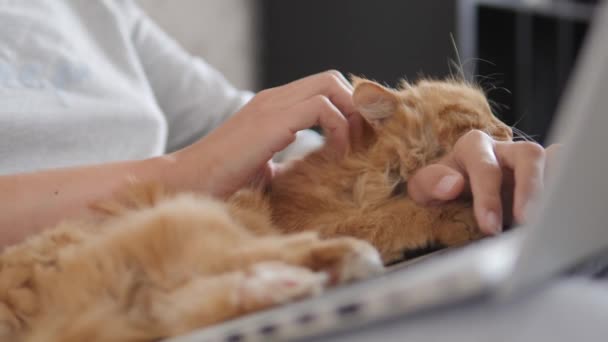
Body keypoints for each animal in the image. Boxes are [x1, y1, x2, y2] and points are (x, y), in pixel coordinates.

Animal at [0, 77, 512, 342]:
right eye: (478, 118)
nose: (508, 132)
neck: (363, 174)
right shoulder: (326, 220)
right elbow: (401, 214)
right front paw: (461, 212)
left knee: (170, 310)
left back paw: (290, 283)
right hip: (194, 222)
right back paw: (329, 268)